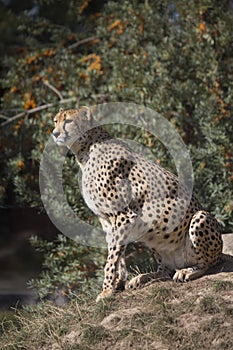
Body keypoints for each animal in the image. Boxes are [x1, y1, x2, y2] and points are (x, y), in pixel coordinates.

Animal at [52, 106, 224, 300]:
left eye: (68, 121)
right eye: (55, 121)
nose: (55, 133)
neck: (86, 148)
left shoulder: (123, 215)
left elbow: (112, 257)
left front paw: (106, 290)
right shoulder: (107, 220)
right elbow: (117, 253)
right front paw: (117, 284)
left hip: (199, 218)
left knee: (207, 263)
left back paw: (187, 271)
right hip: (154, 235)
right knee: (165, 271)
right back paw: (143, 277)